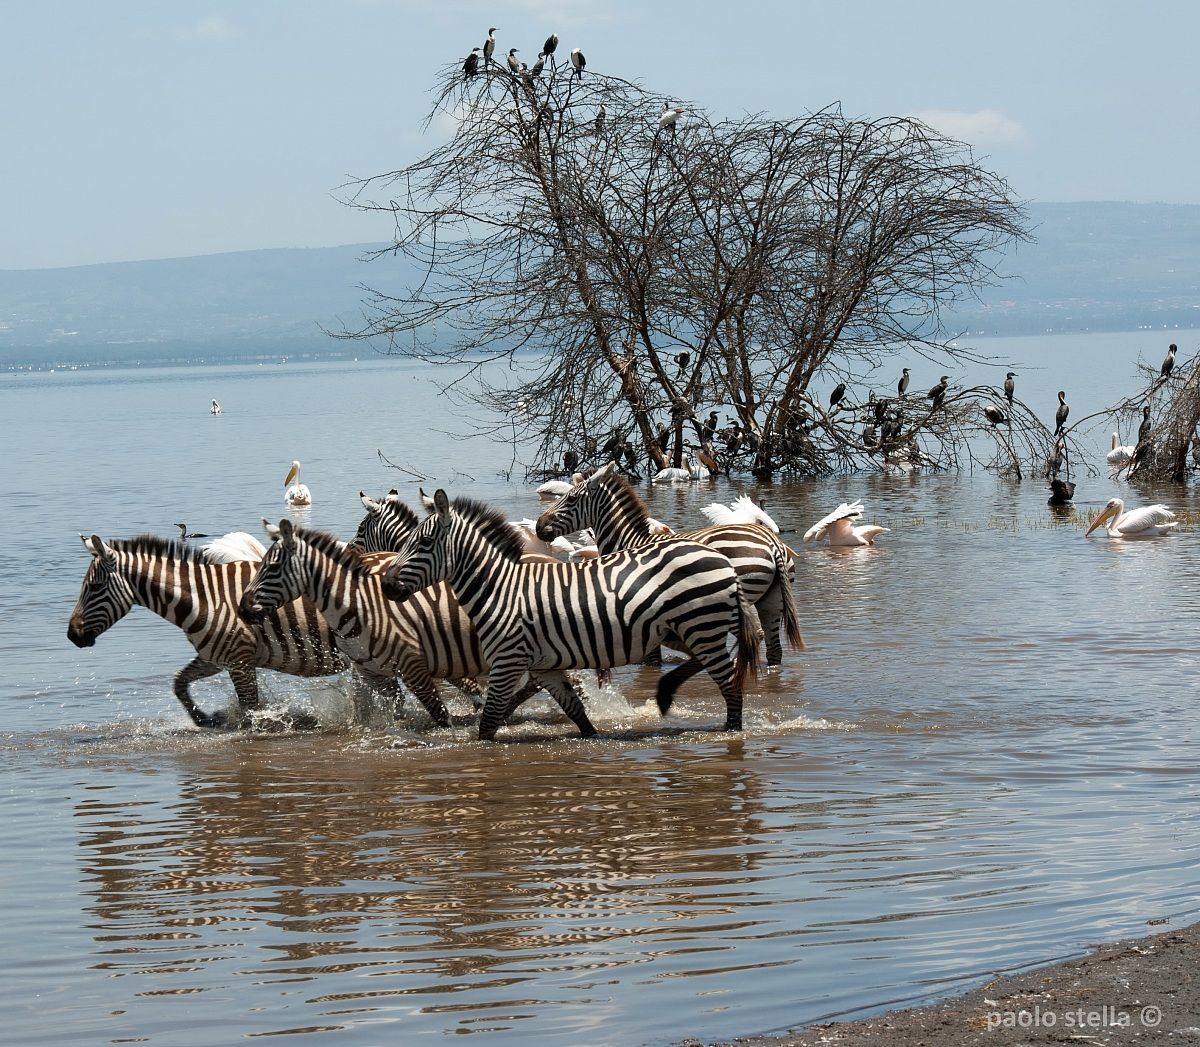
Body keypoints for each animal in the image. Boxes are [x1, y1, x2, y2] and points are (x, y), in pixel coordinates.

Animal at [67, 534, 348, 728]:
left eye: (94, 587)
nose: (72, 635)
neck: (206, 599)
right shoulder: (215, 657)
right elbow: (179, 683)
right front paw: (205, 719)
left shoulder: (240, 660)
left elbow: (250, 710)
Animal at [381, 490, 761, 741]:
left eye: (424, 542)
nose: (385, 584)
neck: (499, 590)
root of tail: (722, 559)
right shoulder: (543, 667)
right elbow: (576, 713)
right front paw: (593, 738)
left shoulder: (507, 662)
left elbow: (488, 725)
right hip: (683, 629)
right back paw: (667, 693)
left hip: (700, 625)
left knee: (730, 686)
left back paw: (729, 731)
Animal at [534, 462, 802, 664]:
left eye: (570, 499)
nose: (538, 526)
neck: (629, 540)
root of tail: (773, 543)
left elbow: (651, 661)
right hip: (772, 599)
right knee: (773, 649)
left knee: (755, 636)